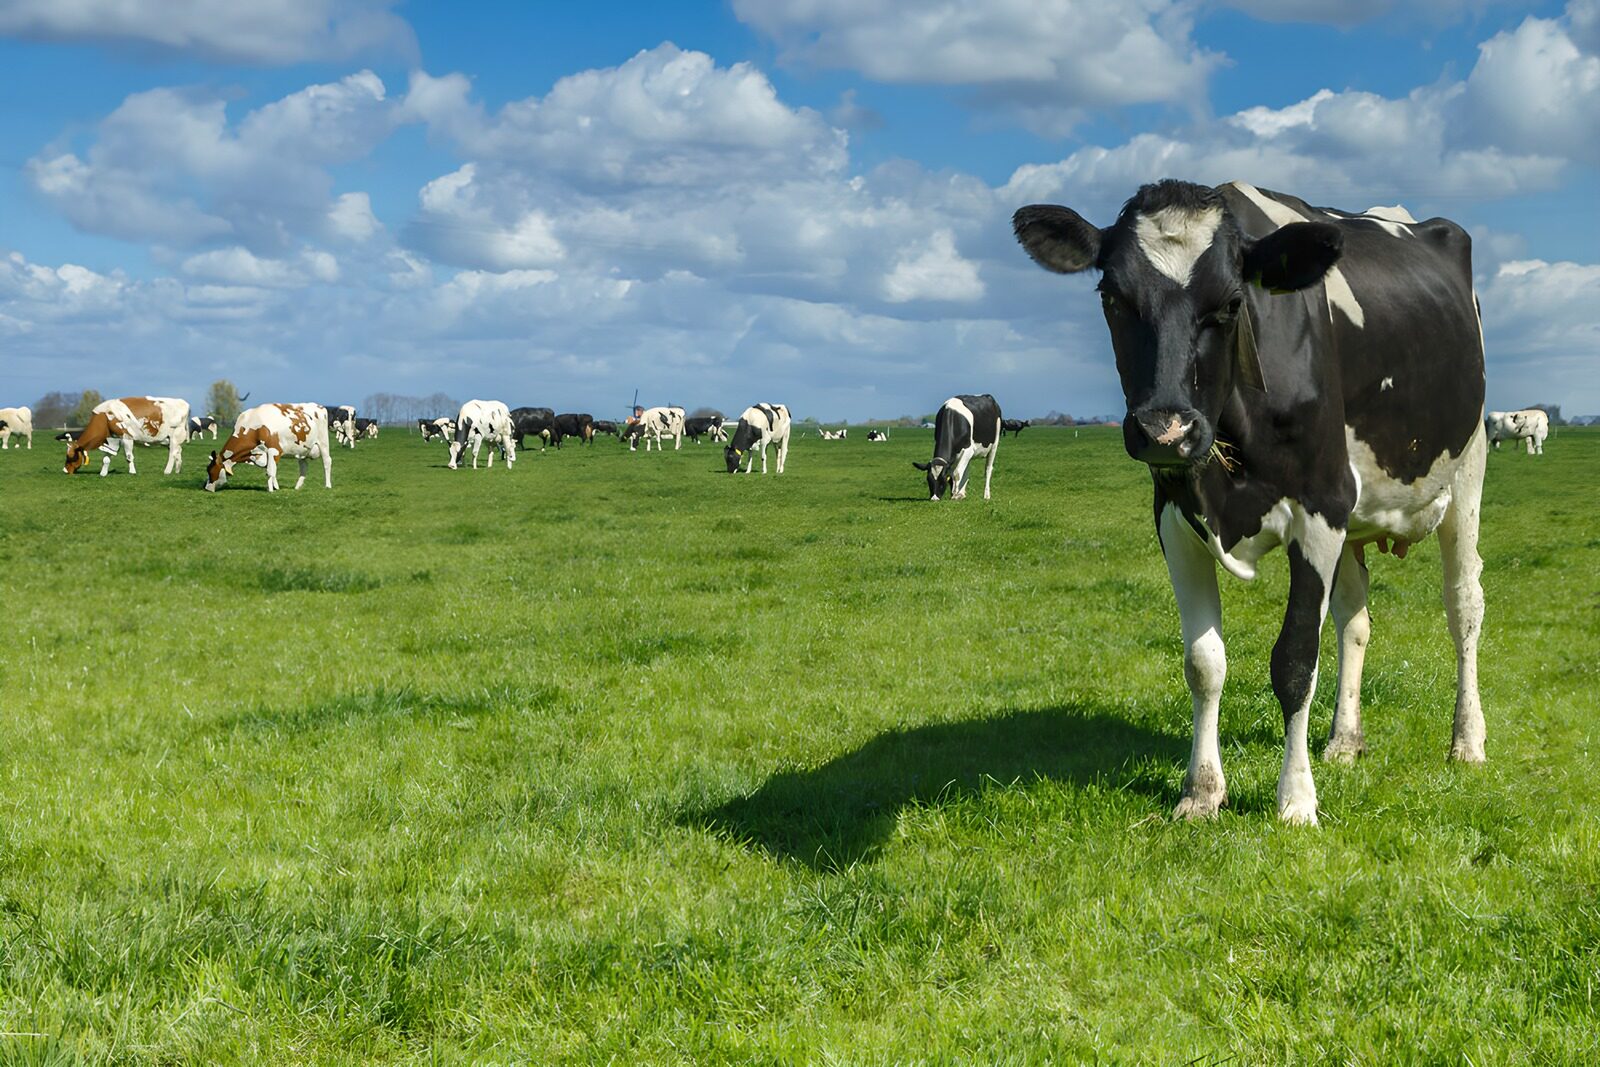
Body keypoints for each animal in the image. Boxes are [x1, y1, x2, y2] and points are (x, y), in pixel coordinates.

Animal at [204, 403, 332, 492]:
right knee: (303, 466)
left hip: (323, 443)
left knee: (327, 462)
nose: (206, 488)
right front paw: (274, 487)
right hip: (302, 450)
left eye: (210, 470)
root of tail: (319, 406)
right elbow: (270, 472)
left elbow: (270, 471)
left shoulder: (274, 451)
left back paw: (328, 485)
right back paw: (297, 487)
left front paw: (271, 490)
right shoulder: (263, 454)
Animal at [1014, 178, 1489, 825]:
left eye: (1233, 303)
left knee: (1463, 604)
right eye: (1112, 297)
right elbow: (1204, 662)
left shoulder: (1321, 507)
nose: (1165, 429)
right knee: (1355, 616)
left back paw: (1467, 741)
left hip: (1467, 471)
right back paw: (1345, 741)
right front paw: (1201, 792)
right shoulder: (1174, 516)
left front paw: (1295, 801)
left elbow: (1295, 661)